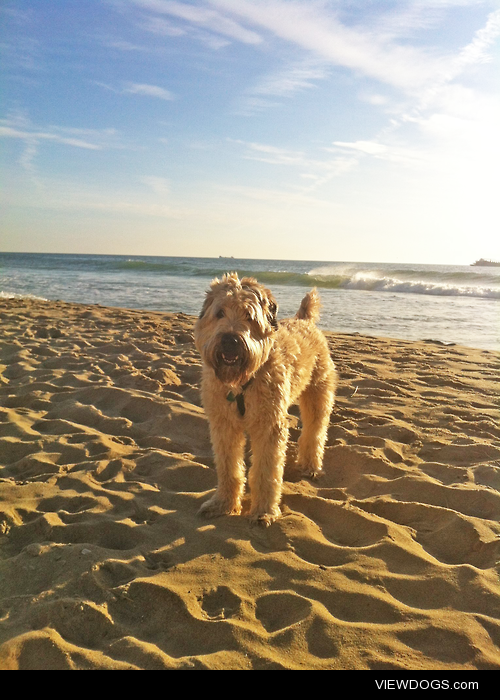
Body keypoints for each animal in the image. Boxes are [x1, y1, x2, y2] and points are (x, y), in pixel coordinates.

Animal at [193, 274, 338, 524]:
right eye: (220, 313)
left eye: (249, 316)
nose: (230, 340)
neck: (241, 384)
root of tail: (304, 321)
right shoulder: (223, 425)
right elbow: (228, 468)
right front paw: (223, 504)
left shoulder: (269, 425)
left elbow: (265, 471)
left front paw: (263, 511)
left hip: (319, 393)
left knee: (315, 431)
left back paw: (310, 465)